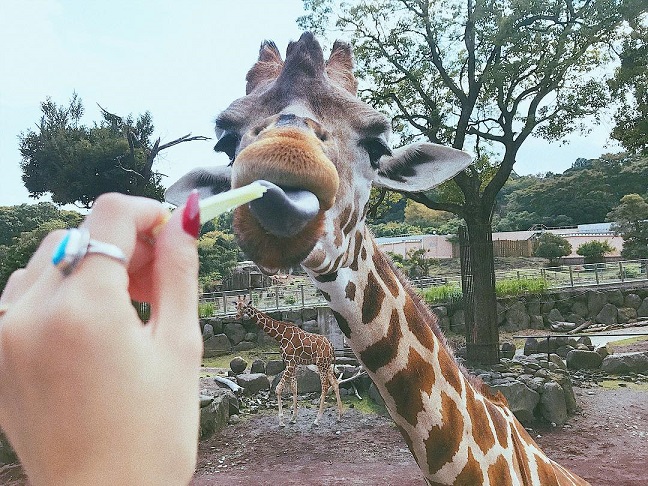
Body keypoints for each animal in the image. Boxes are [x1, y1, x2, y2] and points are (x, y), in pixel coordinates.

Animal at [234, 294, 344, 428]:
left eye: (245, 307)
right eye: (236, 306)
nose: (237, 316)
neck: (280, 336)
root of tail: (331, 345)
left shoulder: (290, 362)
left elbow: (278, 389)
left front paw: (281, 421)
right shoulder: (291, 363)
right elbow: (294, 388)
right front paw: (293, 418)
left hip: (321, 364)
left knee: (324, 386)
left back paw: (317, 420)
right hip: (326, 364)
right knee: (335, 383)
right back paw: (339, 416)